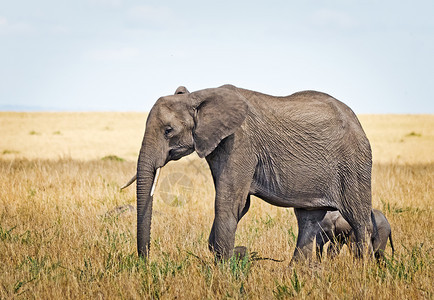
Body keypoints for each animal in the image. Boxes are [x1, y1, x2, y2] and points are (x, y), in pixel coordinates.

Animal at [126, 85, 372, 262]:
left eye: (168, 131)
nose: (146, 262)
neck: (198, 96)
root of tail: (356, 120)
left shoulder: (240, 143)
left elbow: (229, 202)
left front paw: (225, 269)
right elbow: (240, 205)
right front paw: (232, 255)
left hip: (354, 164)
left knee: (358, 218)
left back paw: (362, 269)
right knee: (308, 220)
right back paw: (296, 272)